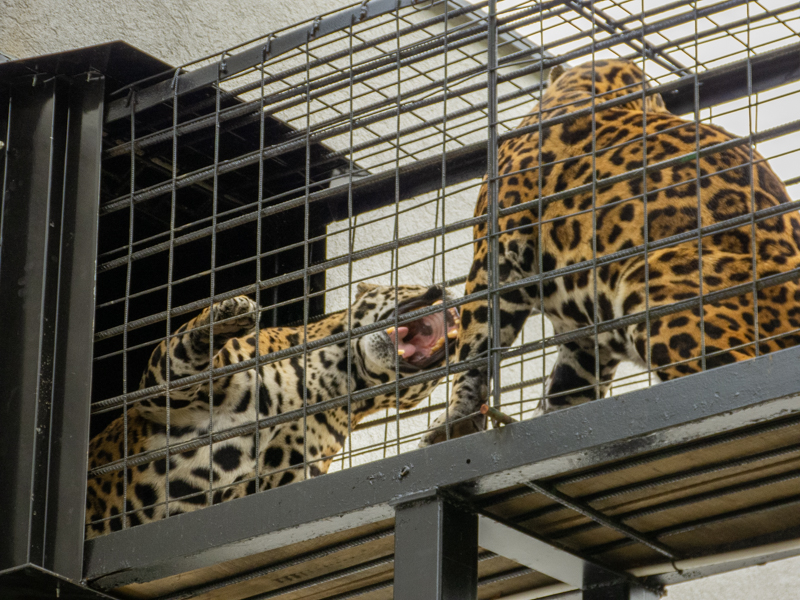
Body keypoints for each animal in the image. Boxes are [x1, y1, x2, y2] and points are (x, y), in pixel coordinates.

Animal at [86, 283, 459, 538]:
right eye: (415, 284)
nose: (455, 305)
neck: (334, 376)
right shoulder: (159, 394)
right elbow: (183, 348)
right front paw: (231, 312)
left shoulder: (274, 482)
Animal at [420, 58, 800, 446]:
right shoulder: (584, 340)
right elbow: (566, 392)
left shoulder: (495, 258)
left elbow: (475, 349)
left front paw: (455, 422)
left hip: (657, 288)